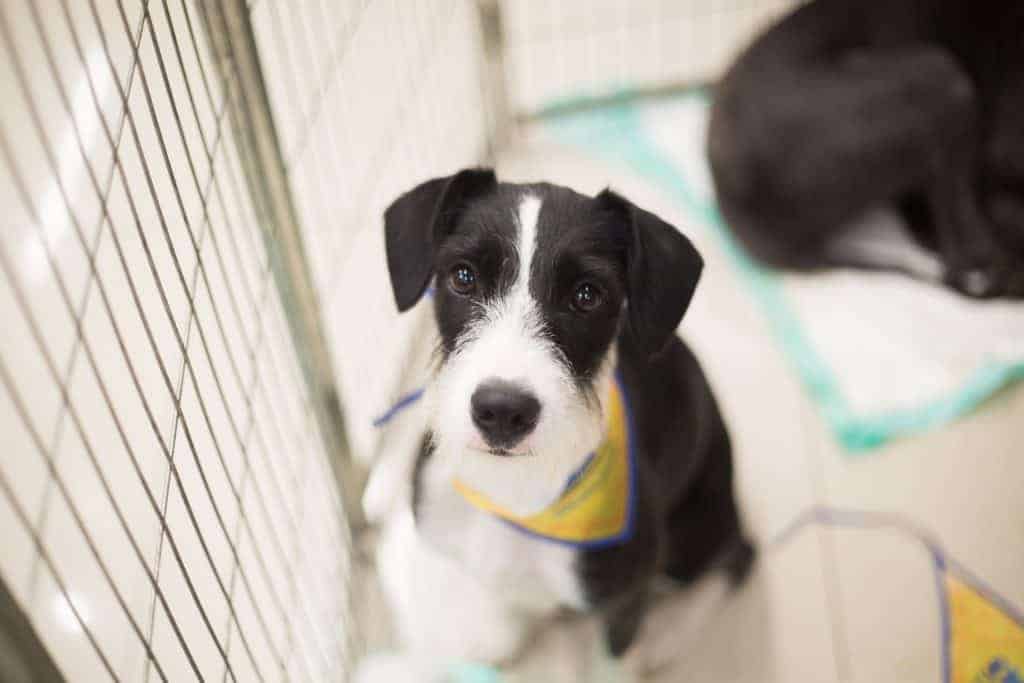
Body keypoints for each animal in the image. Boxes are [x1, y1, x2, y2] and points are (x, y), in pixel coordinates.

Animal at [368, 171, 753, 679]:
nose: (502, 411)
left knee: (737, 556)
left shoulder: (625, 596)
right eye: (463, 276)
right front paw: (495, 633)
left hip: (699, 525)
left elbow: (615, 660)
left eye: (587, 295)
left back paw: (667, 634)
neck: (514, 491)